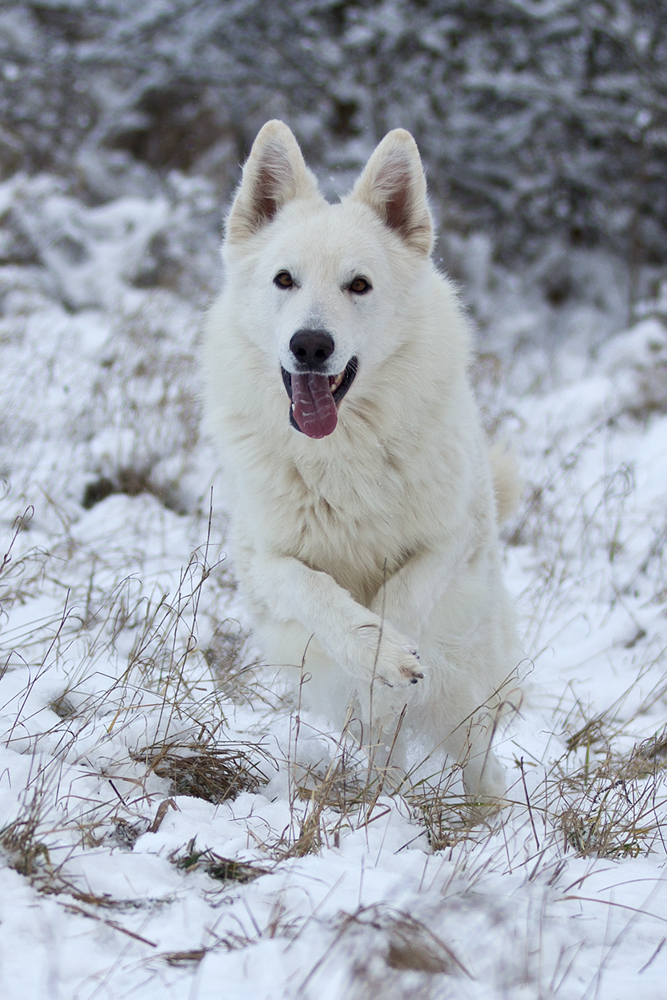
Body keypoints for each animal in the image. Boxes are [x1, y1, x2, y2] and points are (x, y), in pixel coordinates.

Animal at [204, 119, 520, 804]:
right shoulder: (265, 562)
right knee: (387, 753)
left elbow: (399, 596)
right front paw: (376, 657)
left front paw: (391, 660)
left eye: (359, 285)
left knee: (481, 759)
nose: (310, 345)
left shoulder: (450, 540)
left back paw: (485, 815)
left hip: (466, 688)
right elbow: (317, 590)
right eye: (285, 280)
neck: (339, 456)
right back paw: (382, 801)